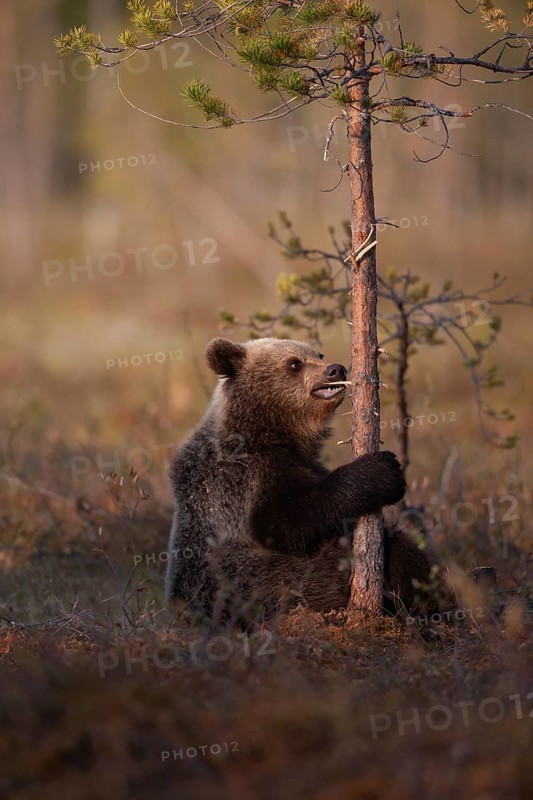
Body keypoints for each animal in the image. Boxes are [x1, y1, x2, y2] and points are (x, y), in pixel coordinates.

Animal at [165, 337, 437, 623]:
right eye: (294, 363)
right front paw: (382, 470)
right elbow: (288, 520)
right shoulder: (242, 478)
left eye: (318, 354)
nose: (336, 369)